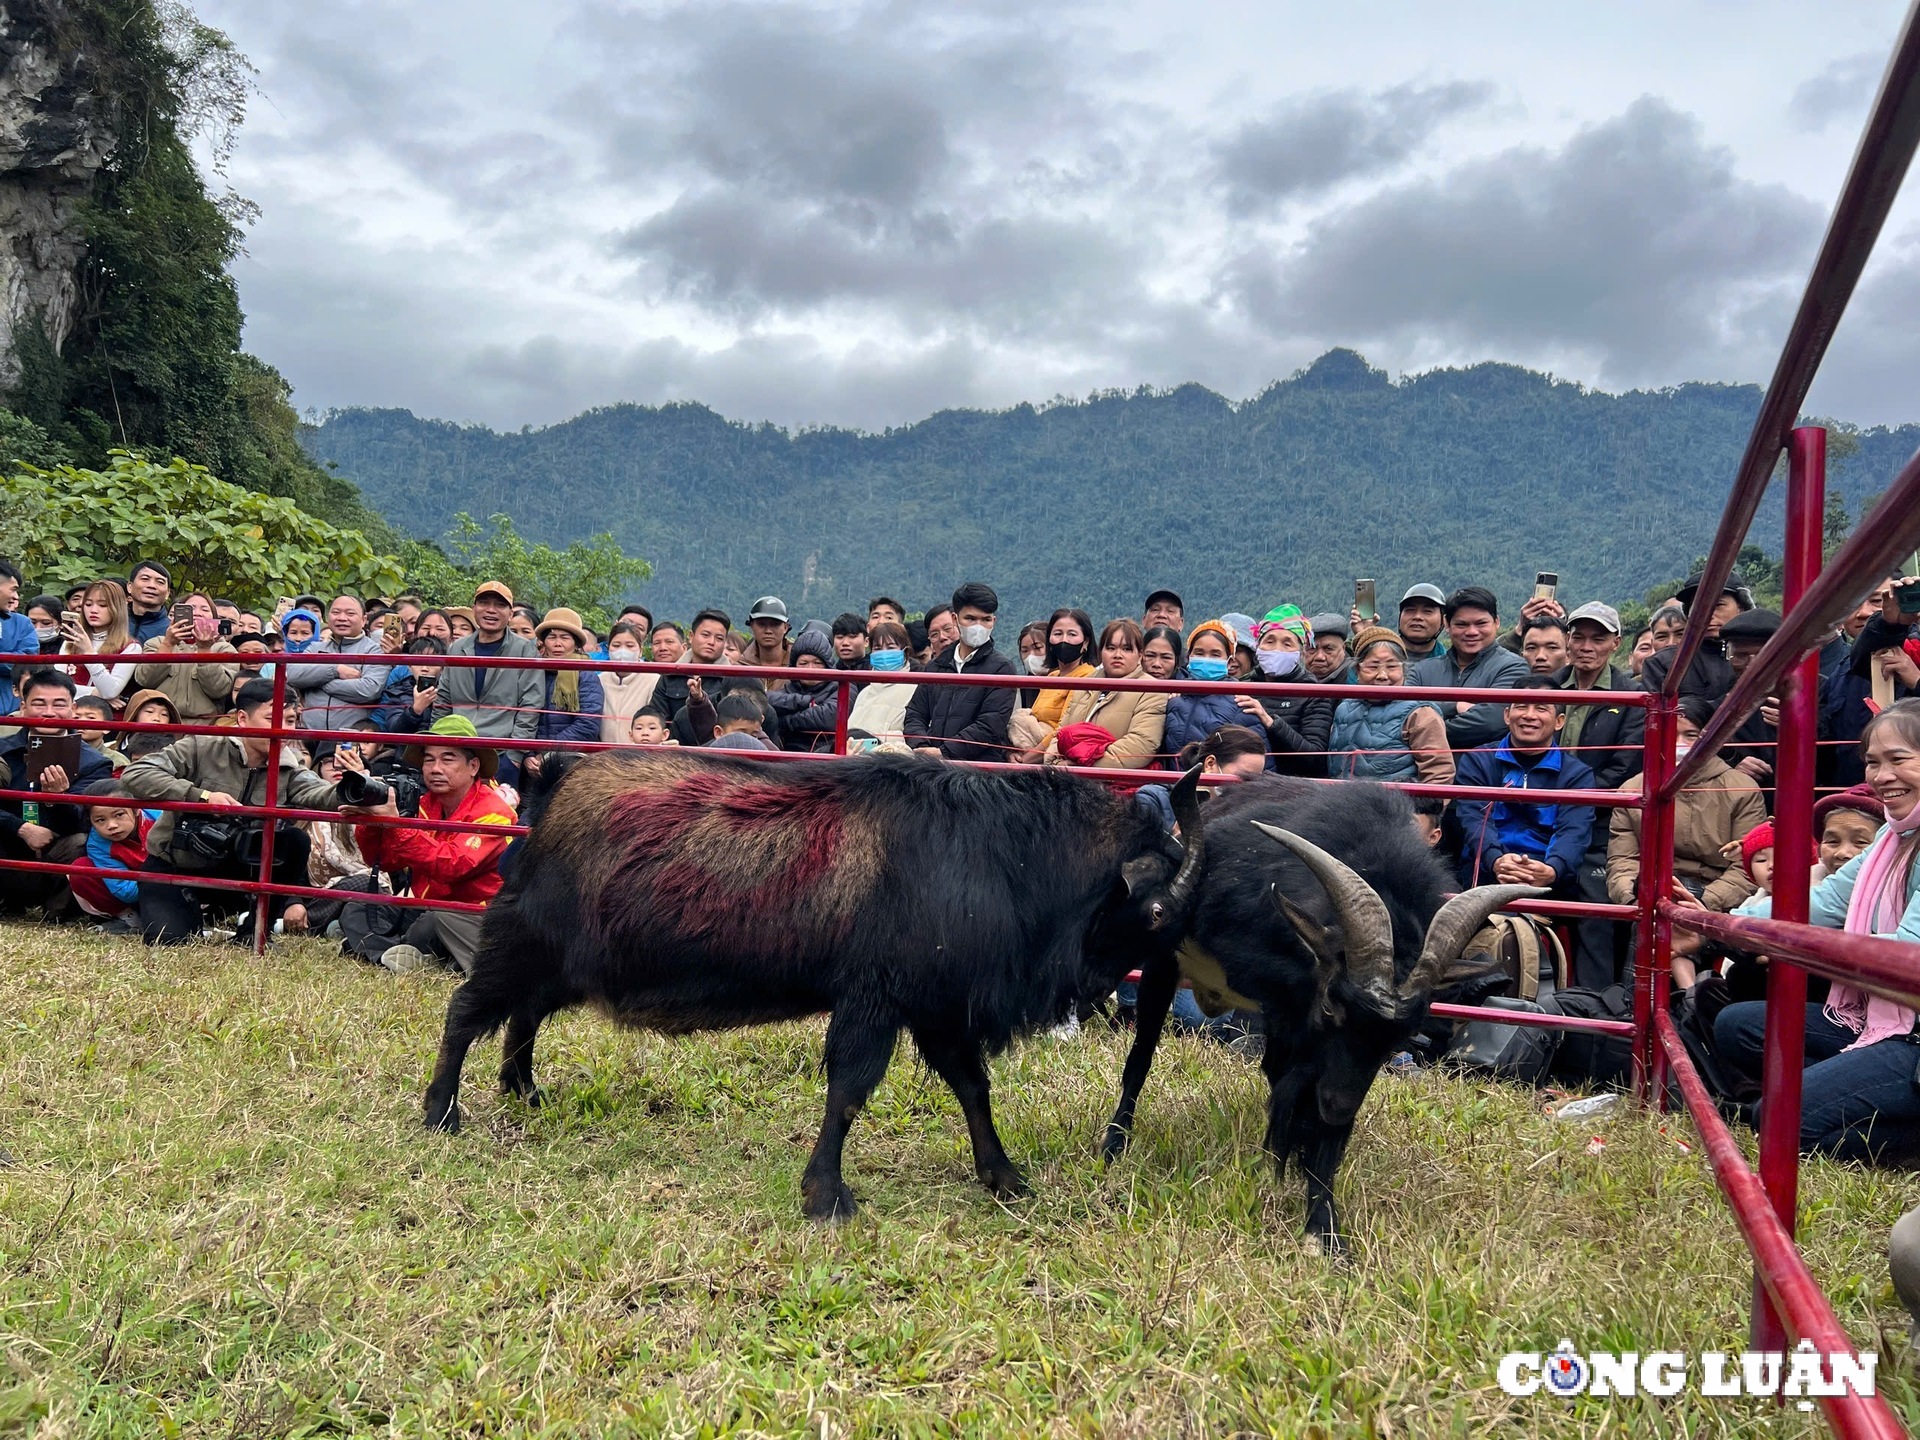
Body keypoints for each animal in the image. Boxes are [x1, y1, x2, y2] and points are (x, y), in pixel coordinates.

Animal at [1105, 771, 1536, 1259]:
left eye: (1405, 1035)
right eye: (1332, 1003)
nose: (1337, 1106)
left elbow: (1319, 1124)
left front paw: (1324, 1228)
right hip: (1166, 965)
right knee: (1143, 1054)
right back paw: (1116, 1144)